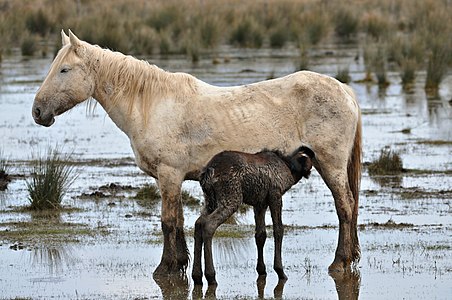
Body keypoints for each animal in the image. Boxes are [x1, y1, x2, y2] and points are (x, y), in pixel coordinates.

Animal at [31, 31, 362, 276]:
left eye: (64, 70)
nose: (38, 111)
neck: (152, 105)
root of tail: (344, 90)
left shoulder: (169, 174)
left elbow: (167, 222)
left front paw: (164, 269)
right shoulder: (171, 179)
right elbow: (178, 221)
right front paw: (180, 264)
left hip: (330, 165)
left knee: (345, 207)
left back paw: (339, 262)